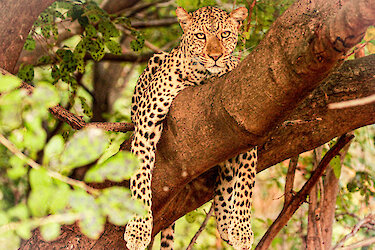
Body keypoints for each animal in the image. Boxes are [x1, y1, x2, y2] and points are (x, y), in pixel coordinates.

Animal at [125, 5, 258, 250]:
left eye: (225, 34)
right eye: (200, 36)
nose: (215, 57)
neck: (202, 78)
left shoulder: (249, 128)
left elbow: (245, 183)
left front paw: (242, 230)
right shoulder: (146, 126)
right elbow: (139, 177)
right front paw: (138, 230)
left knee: (226, 177)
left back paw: (226, 223)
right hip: (155, 61)